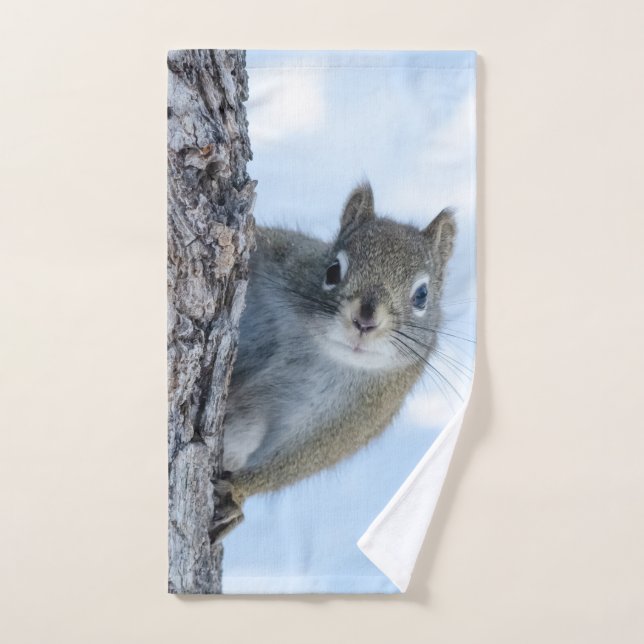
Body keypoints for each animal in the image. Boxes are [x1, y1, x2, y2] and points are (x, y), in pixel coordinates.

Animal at [210, 181, 456, 541]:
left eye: (422, 296)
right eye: (332, 270)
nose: (365, 320)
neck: (321, 350)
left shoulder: (357, 414)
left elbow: (303, 457)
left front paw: (239, 492)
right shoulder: (284, 258)